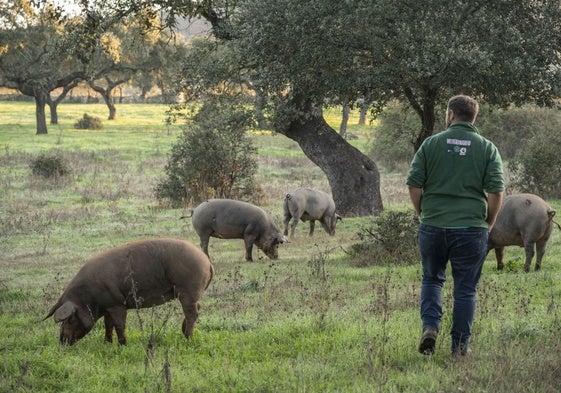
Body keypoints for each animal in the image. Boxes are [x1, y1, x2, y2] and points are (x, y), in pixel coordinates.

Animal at [43, 236, 213, 344]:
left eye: (70, 319)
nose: (61, 341)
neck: (88, 297)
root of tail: (206, 261)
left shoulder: (117, 304)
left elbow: (119, 325)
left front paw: (122, 345)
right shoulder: (108, 306)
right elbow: (108, 325)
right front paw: (107, 343)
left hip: (187, 289)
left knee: (192, 313)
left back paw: (187, 338)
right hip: (190, 293)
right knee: (198, 308)